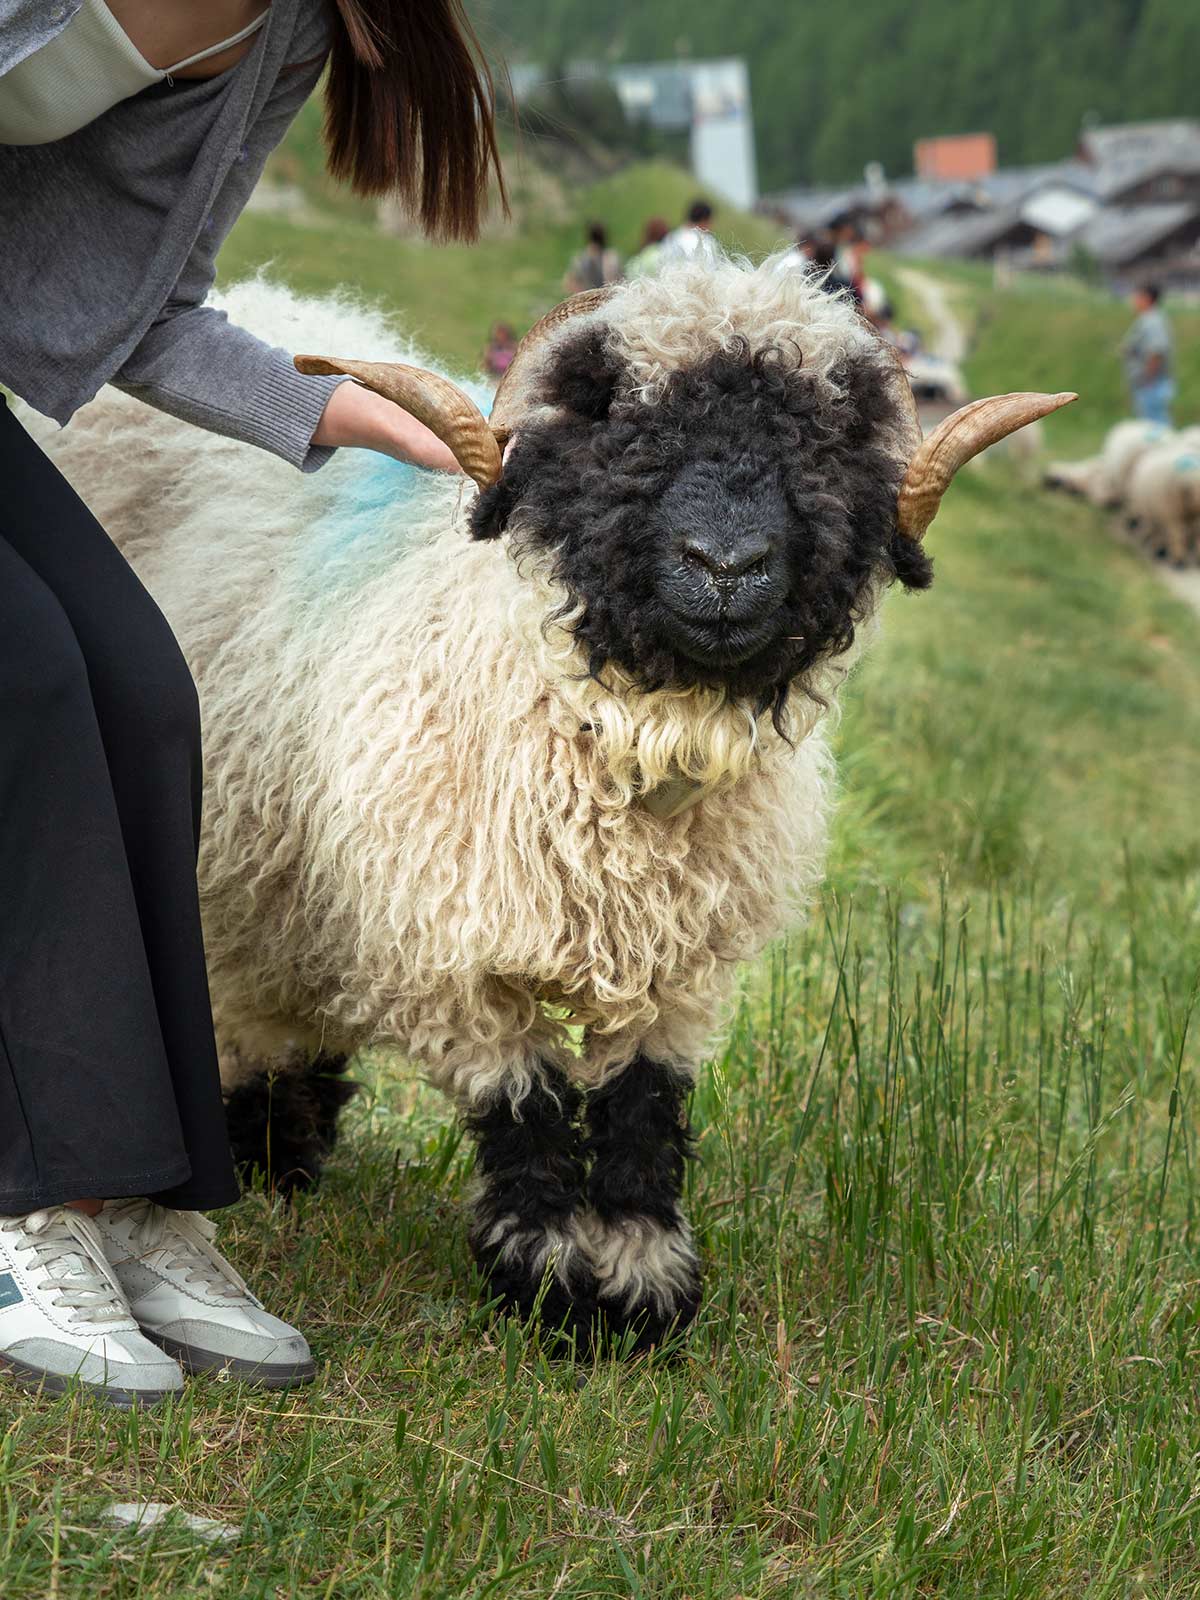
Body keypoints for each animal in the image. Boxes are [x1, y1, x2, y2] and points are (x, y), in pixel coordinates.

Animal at [27, 257, 1068, 1349]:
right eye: (614, 418)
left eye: (828, 438)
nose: (726, 565)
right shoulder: (456, 940)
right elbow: (522, 1103)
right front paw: (551, 1281)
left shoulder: (677, 966)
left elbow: (642, 1102)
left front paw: (643, 1284)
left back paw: (283, 1148)